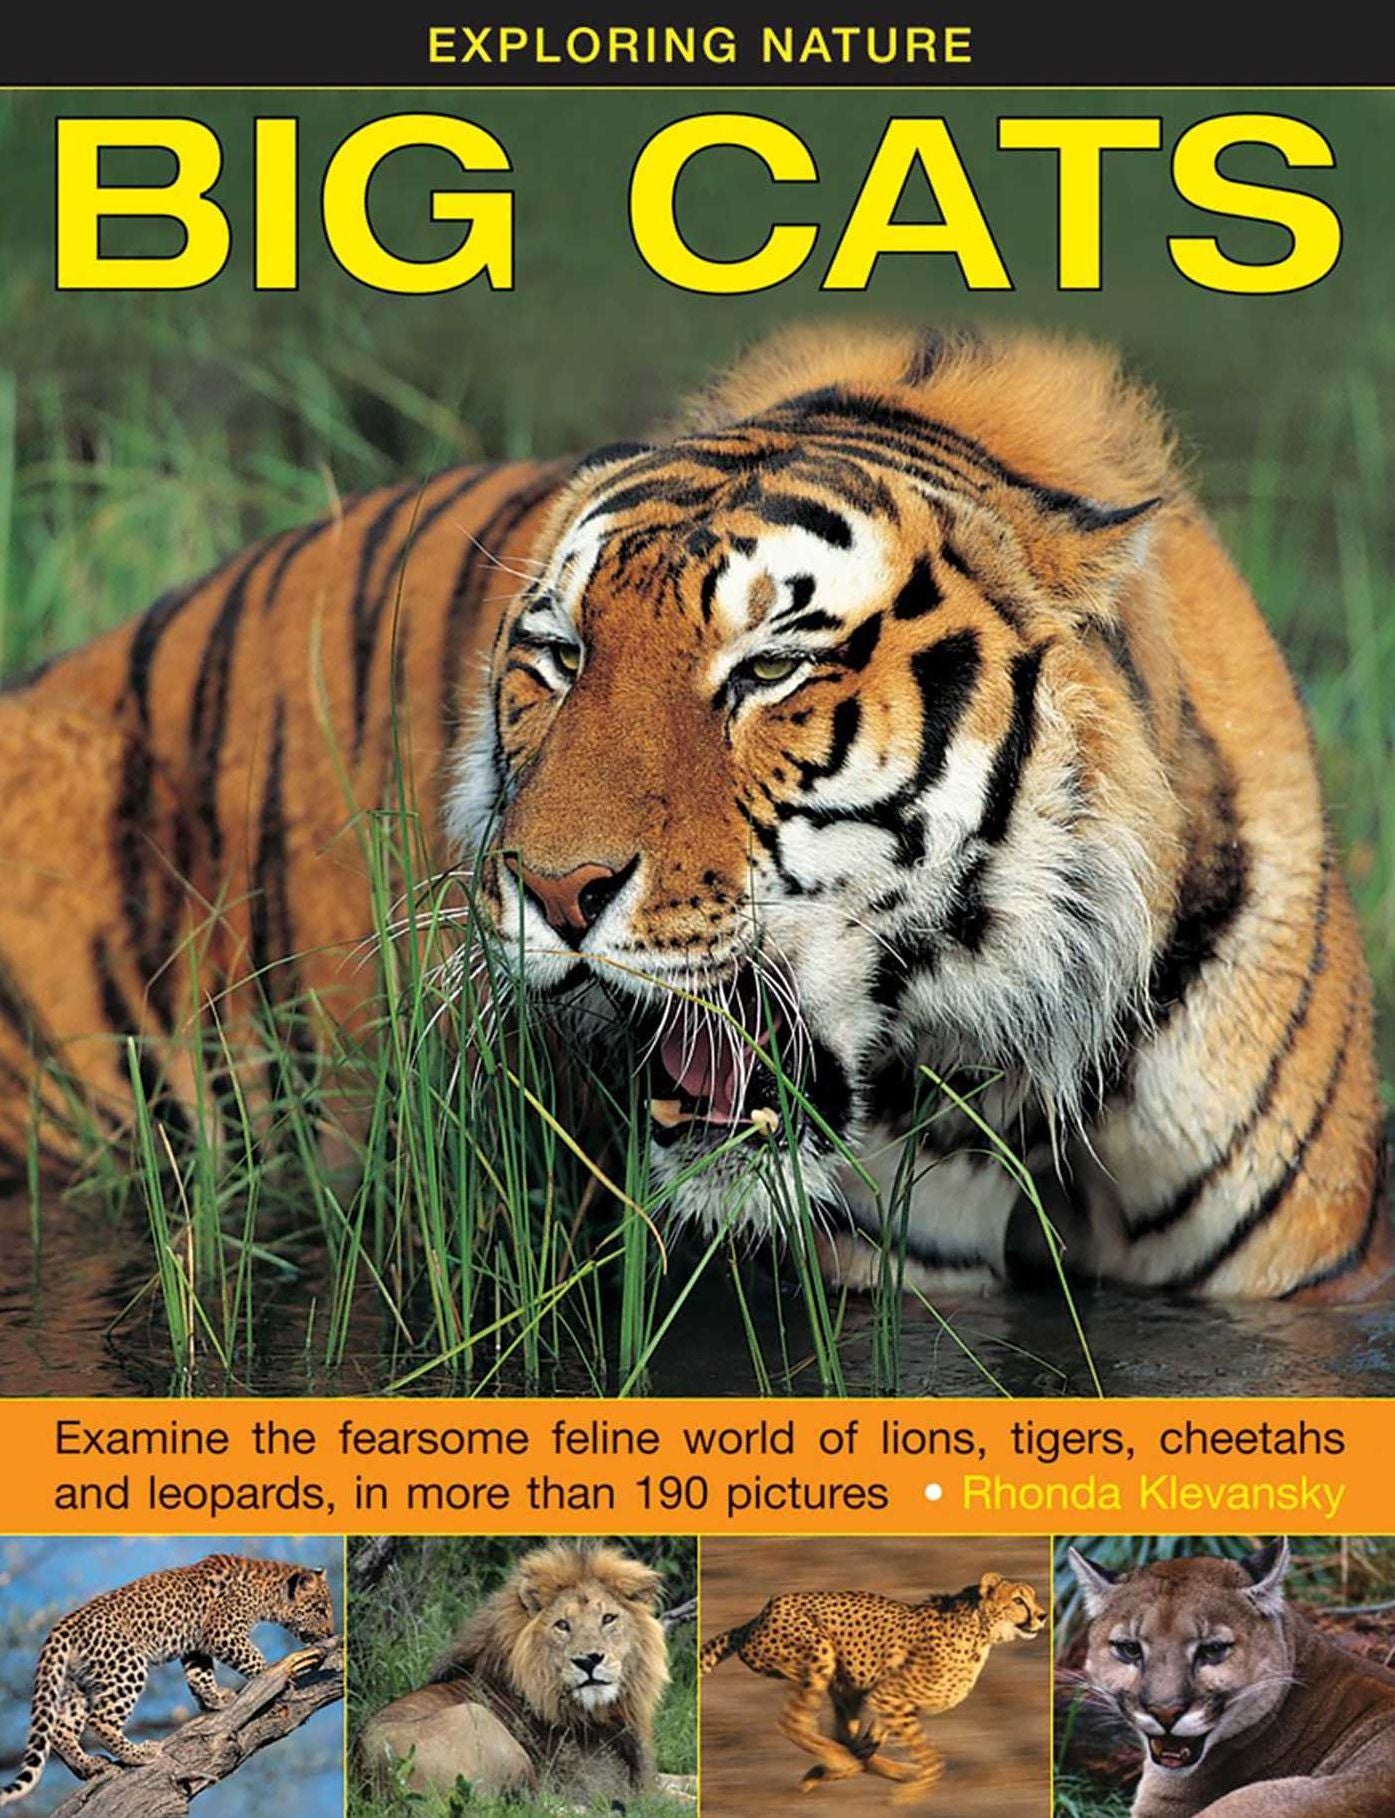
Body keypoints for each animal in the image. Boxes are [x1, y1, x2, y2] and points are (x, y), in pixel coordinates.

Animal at [355, 1541, 684, 1808]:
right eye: (562, 1625)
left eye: (608, 1618)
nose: (588, 1660)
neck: (607, 1709)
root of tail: (372, 1772)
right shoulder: (612, 1786)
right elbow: (679, 1799)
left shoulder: (648, 1776)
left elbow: (683, 1779)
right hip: (480, 1723)